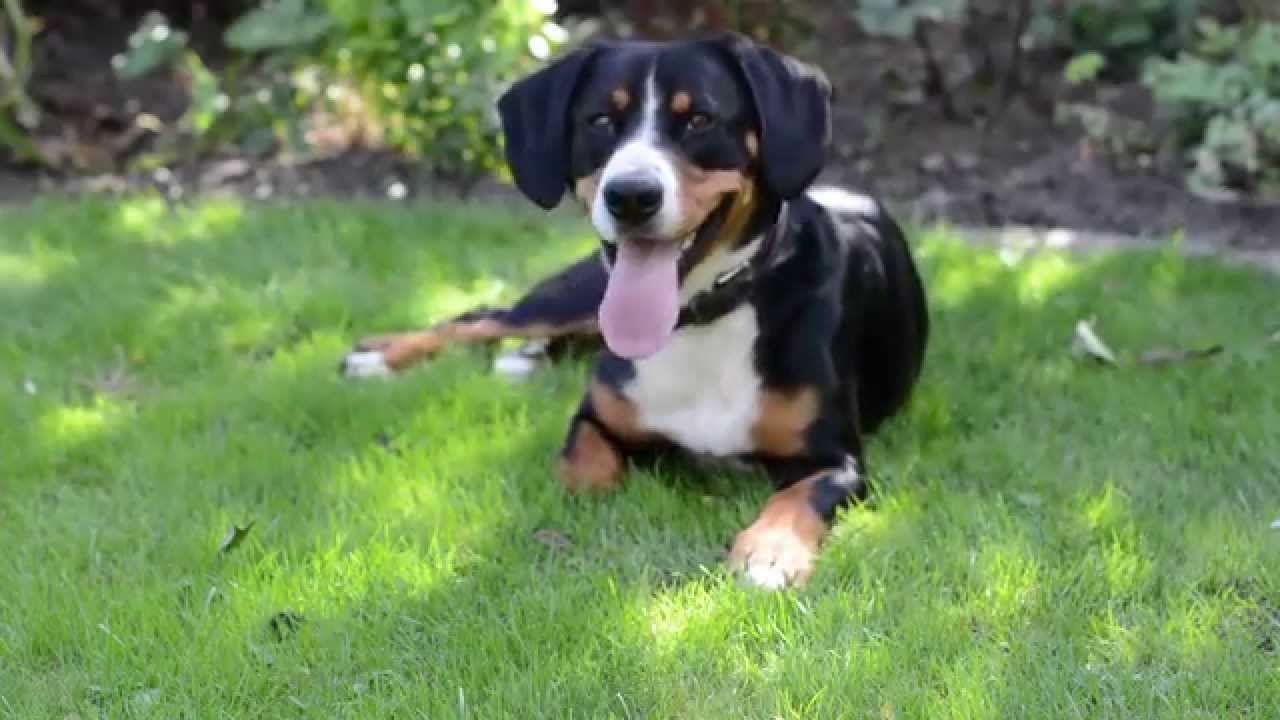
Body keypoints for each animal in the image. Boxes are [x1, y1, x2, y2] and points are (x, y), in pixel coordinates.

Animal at [340, 32, 926, 589]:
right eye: (601, 120)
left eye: (699, 119)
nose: (631, 195)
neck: (701, 320)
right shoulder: (594, 416)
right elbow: (581, 469)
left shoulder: (837, 461)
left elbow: (795, 499)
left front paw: (769, 554)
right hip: (575, 295)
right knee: (481, 317)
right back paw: (378, 358)